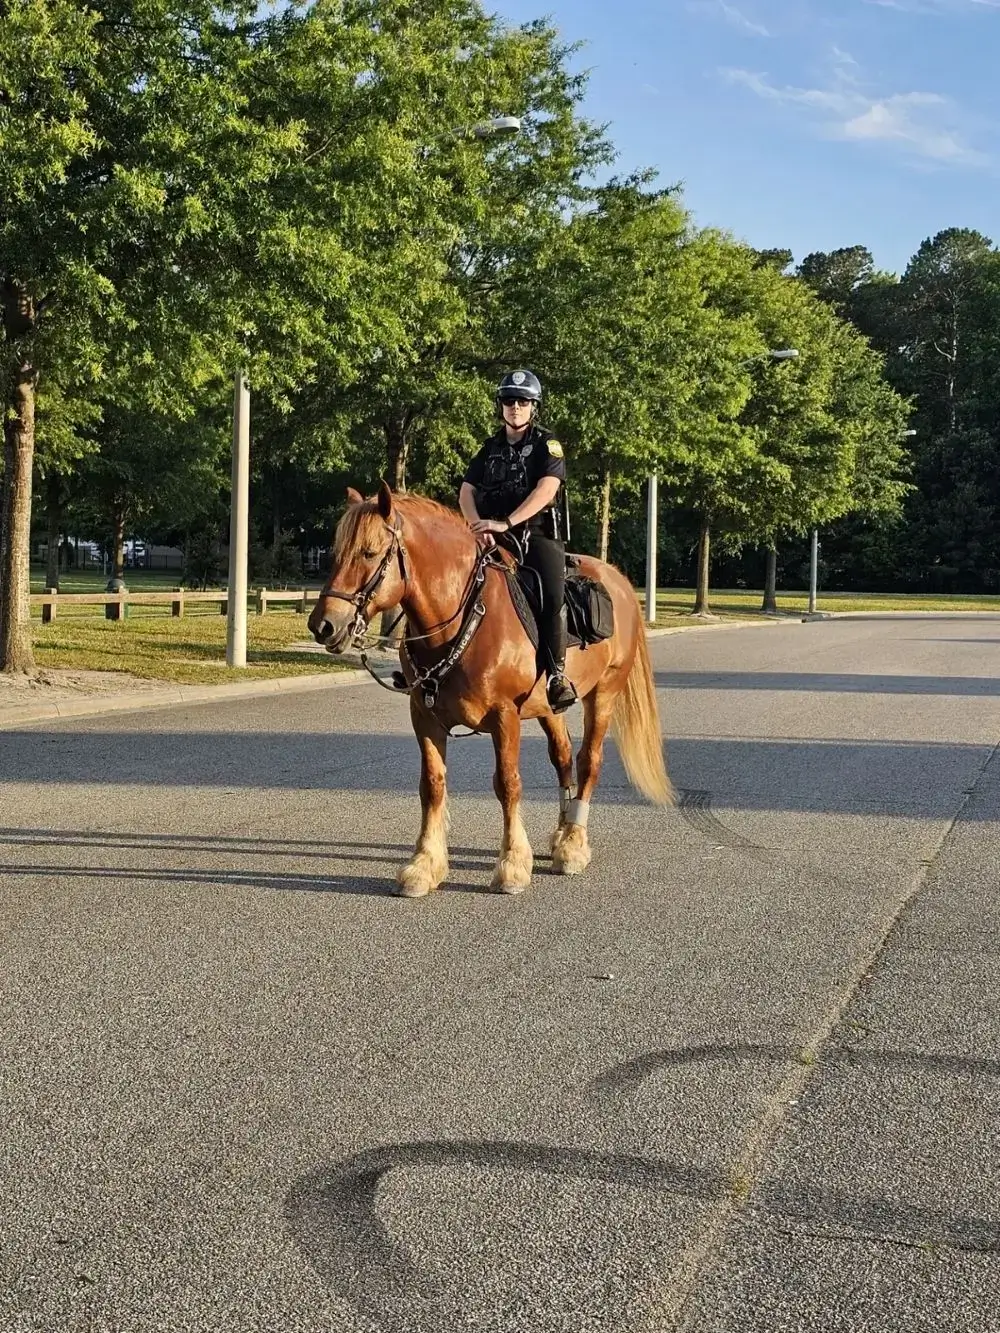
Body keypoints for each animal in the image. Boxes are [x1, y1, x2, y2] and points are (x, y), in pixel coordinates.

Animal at [308, 483, 673, 897]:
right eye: (336, 552)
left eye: (369, 552)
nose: (323, 625)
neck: (461, 621)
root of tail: (619, 581)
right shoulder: (425, 717)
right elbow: (432, 785)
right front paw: (424, 865)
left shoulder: (504, 717)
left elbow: (508, 784)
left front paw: (512, 864)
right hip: (549, 708)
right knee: (563, 757)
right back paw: (561, 834)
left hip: (604, 695)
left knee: (588, 761)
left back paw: (573, 844)